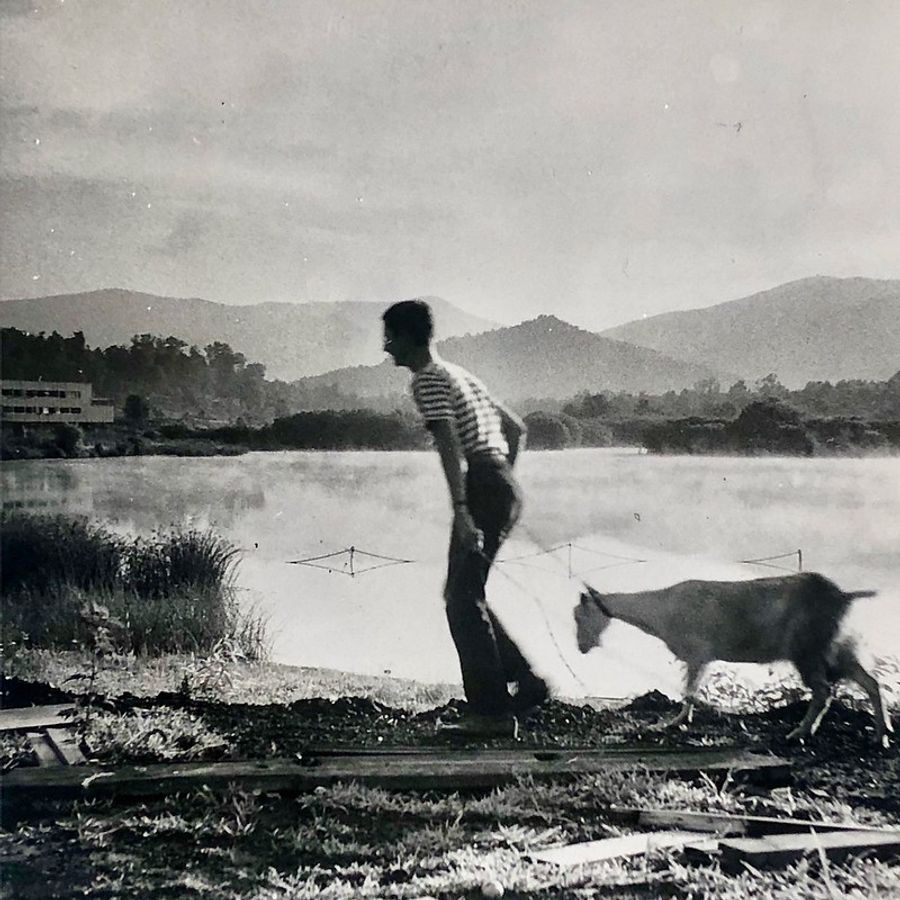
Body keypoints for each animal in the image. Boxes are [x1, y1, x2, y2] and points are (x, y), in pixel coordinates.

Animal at [576, 576, 892, 744]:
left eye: (579, 615)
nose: (581, 647)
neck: (660, 611)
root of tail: (843, 596)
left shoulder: (698, 654)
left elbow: (688, 692)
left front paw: (674, 722)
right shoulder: (699, 659)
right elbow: (691, 691)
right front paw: (679, 720)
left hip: (808, 651)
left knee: (824, 691)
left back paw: (800, 731)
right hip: (840, 649)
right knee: (870, 682)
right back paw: (881, 734)